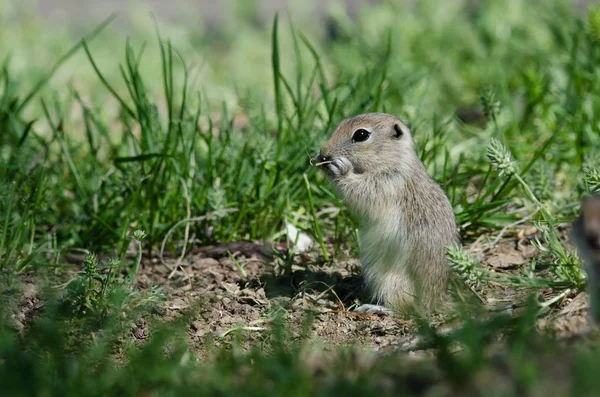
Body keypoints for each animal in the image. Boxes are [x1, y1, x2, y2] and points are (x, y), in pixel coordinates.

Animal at [316, 113, 458, 314]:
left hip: (390, 282)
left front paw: (340, 169)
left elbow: (360, 190)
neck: (395, 160)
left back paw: (373, 308)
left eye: (361, 134)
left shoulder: (387, 183)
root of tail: (435, 303)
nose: (323, 153)